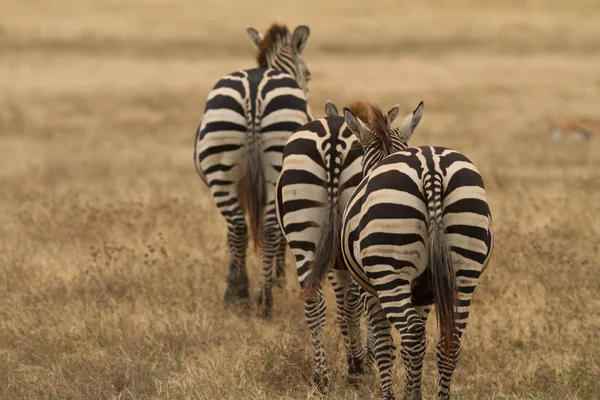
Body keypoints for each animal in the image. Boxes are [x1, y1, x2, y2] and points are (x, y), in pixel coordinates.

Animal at [195, 24, 312, 318]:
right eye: (308, 75)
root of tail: (254, 89)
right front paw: (277, 278)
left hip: (224, 172)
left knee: (241, 227)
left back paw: (242, 295)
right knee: (261, 228)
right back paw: (261, 298)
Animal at [330, 101, 494, 398]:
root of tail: (430, 168)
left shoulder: (370, 291)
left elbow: (384, 347)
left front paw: (394, 395)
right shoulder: (424, 293)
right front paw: (411, 391)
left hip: (389, 272)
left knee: (412, 334)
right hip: (465, 268)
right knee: (449, 341)